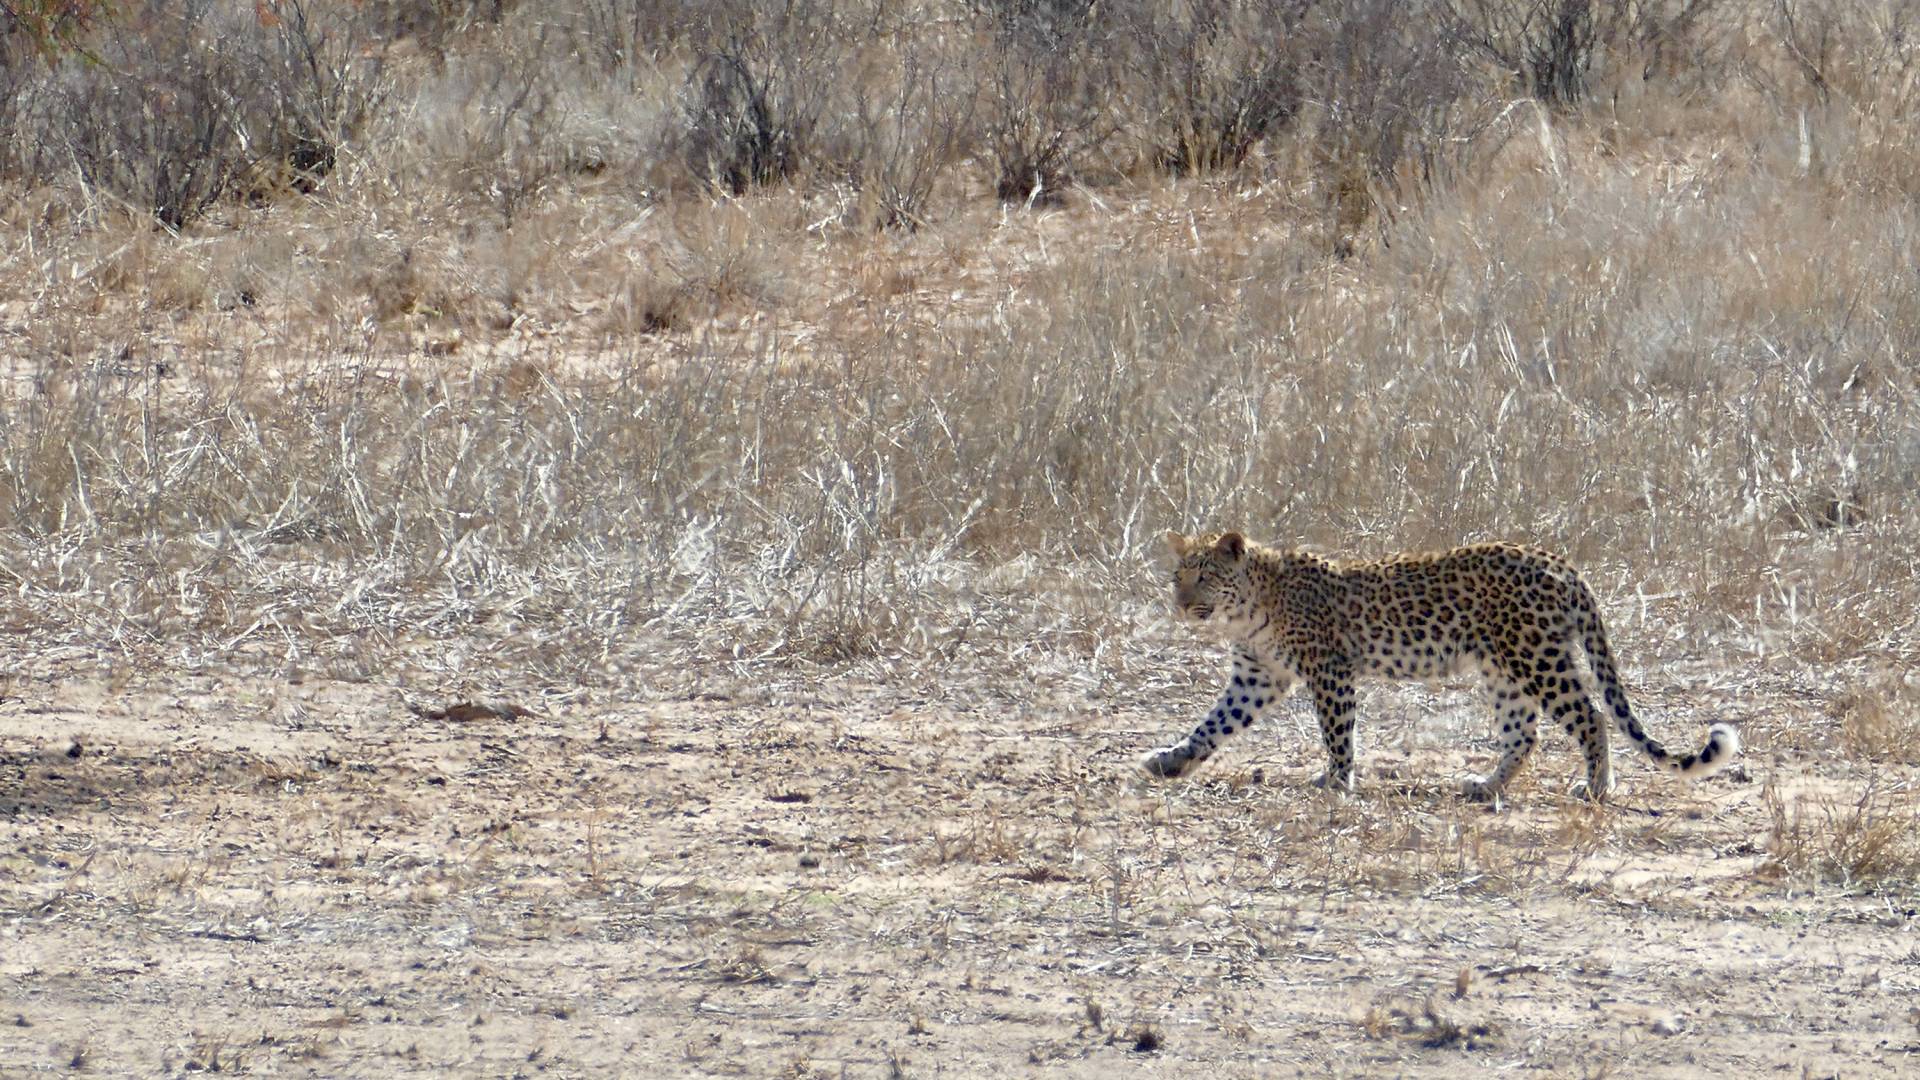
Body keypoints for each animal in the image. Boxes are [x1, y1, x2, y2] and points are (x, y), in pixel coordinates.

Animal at [1143, 530, 1740, 804]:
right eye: (1177, 575)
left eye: (1205, 576)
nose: (1180, 604)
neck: (1246, 610)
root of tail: (1562, 563)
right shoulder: (1256, 676)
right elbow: (1212, 724)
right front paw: (1171, 761)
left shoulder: (1330, 670)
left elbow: (1337, 733)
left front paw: (1337, 781)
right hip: (1504, 669)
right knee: (1524, 734)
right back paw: (1486, 785)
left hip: (1535, 657)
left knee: (1591, 717)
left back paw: (1595, 788)